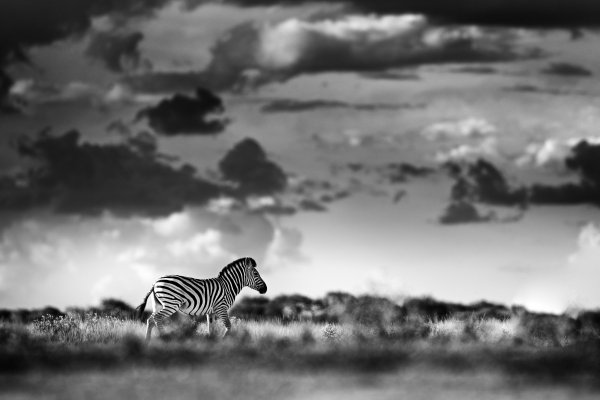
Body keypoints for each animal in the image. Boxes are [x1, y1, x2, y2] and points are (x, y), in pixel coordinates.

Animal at [137, 258, 268, 340]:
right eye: (256, 274)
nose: (265, 289)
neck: (228, 286)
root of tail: (155, 282)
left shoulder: (212, 311)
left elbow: (211, 328)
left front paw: (211, 341)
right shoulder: (221, 307)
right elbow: (228, 325)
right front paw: (222, 340)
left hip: (158, 304)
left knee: (150, 320)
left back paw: (147, 341)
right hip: (171, 303)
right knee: (157, 318)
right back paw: (164, 338)